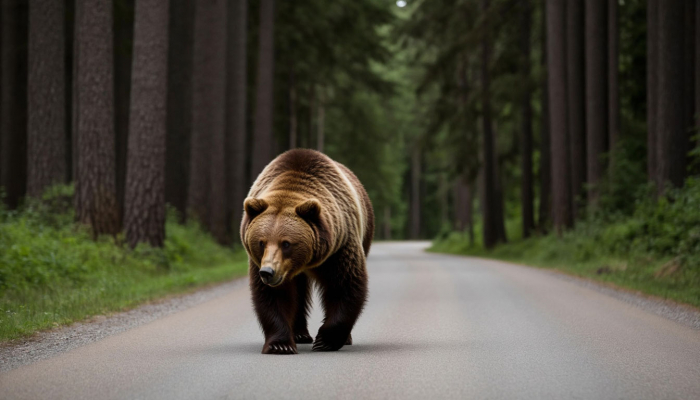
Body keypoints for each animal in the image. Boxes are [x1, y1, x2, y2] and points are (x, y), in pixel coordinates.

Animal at [240, 149, 374, 354]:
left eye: (286, 243)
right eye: (261, 242)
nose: (268, 272)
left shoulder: (340, 248)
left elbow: (345, 286)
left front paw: (324, 341)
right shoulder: (259, 263)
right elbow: (273, 296)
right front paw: (280, 344)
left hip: (365, 230)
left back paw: (343, 339)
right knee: (299, 293)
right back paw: (300, 334)